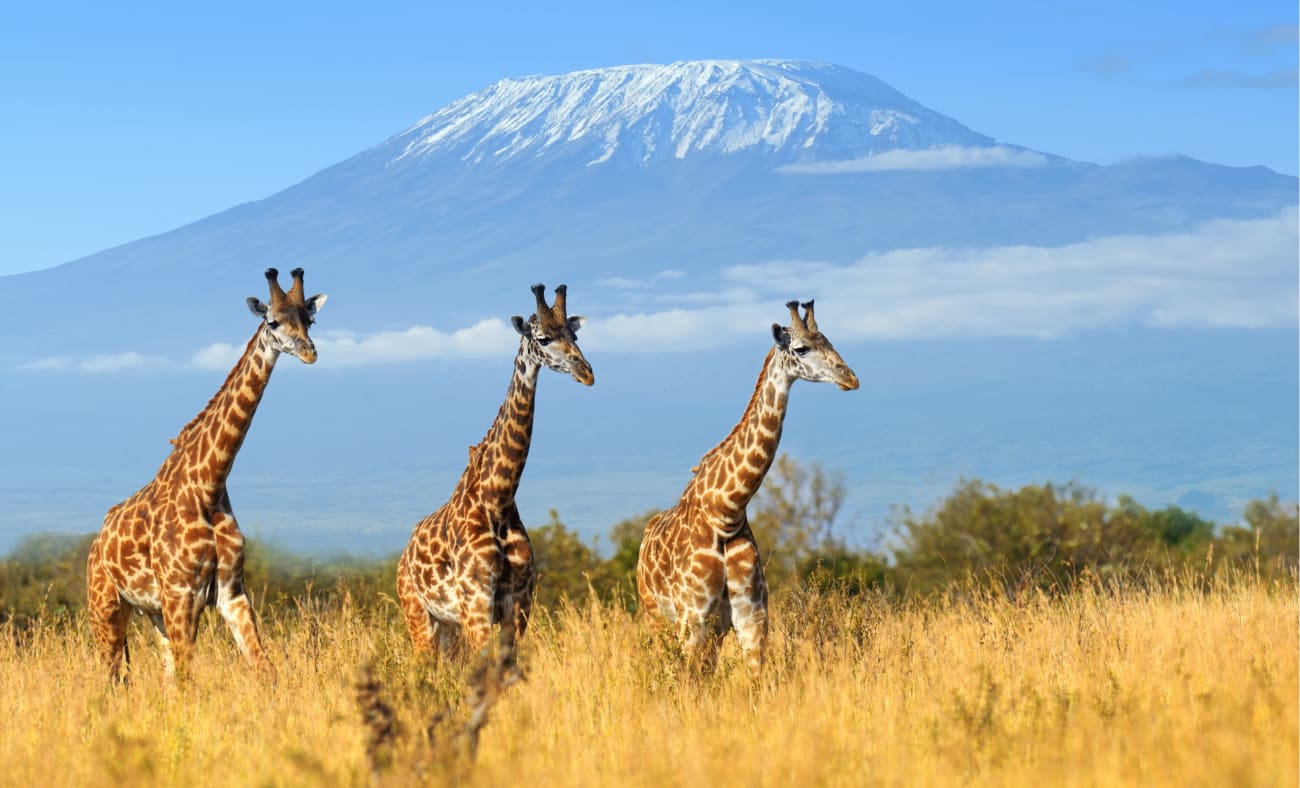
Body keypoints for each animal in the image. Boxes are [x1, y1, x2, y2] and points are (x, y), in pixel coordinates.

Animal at [83, 269, 327, 681]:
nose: (310, 352)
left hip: (153, 612)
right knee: (115, 677)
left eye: (309, 320)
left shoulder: (231, 592)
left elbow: (265, 669)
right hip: (106, 606)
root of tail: (96, 543)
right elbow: (188, 680)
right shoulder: (182, 594)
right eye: (272, 321)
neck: (208, 485)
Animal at [395, 283, 595, 660]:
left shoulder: (519, 604)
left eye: (574, 335)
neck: (498, 499)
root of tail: (404, 555)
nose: (586, 372)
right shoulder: (477, 603)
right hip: (419, 615)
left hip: (449, 625)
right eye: (544, 338)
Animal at [634, 299, 857, 676]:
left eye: (829, 340)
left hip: (713, 627)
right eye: (802, 348)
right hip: (658, 616)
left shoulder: (751, 615)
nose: (850, 378)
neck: (728, 510)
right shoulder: (693, 616)